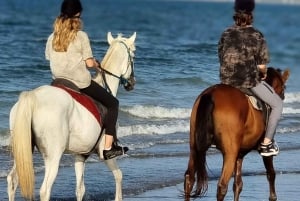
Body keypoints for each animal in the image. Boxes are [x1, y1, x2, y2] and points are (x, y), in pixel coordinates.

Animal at [7, 31, 137, 201]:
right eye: (133, 55)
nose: (132, 83)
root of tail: (32, 97)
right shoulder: (105, 153)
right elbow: (119, 176)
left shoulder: (80, 155)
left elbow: (80, 189)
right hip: (53, 156)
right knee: (45, 190)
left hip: (23, 151)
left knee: (12, 180)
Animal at [184, 67, 290, 201]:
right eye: (284, 87)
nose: (283, 96)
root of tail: (210, 94)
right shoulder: (263, 152)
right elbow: (271, 173)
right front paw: (273, 196)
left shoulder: (239, 155)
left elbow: (238, 184)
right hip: (229, 154)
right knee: (222, 186)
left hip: (194, 149)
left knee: (189, 178)